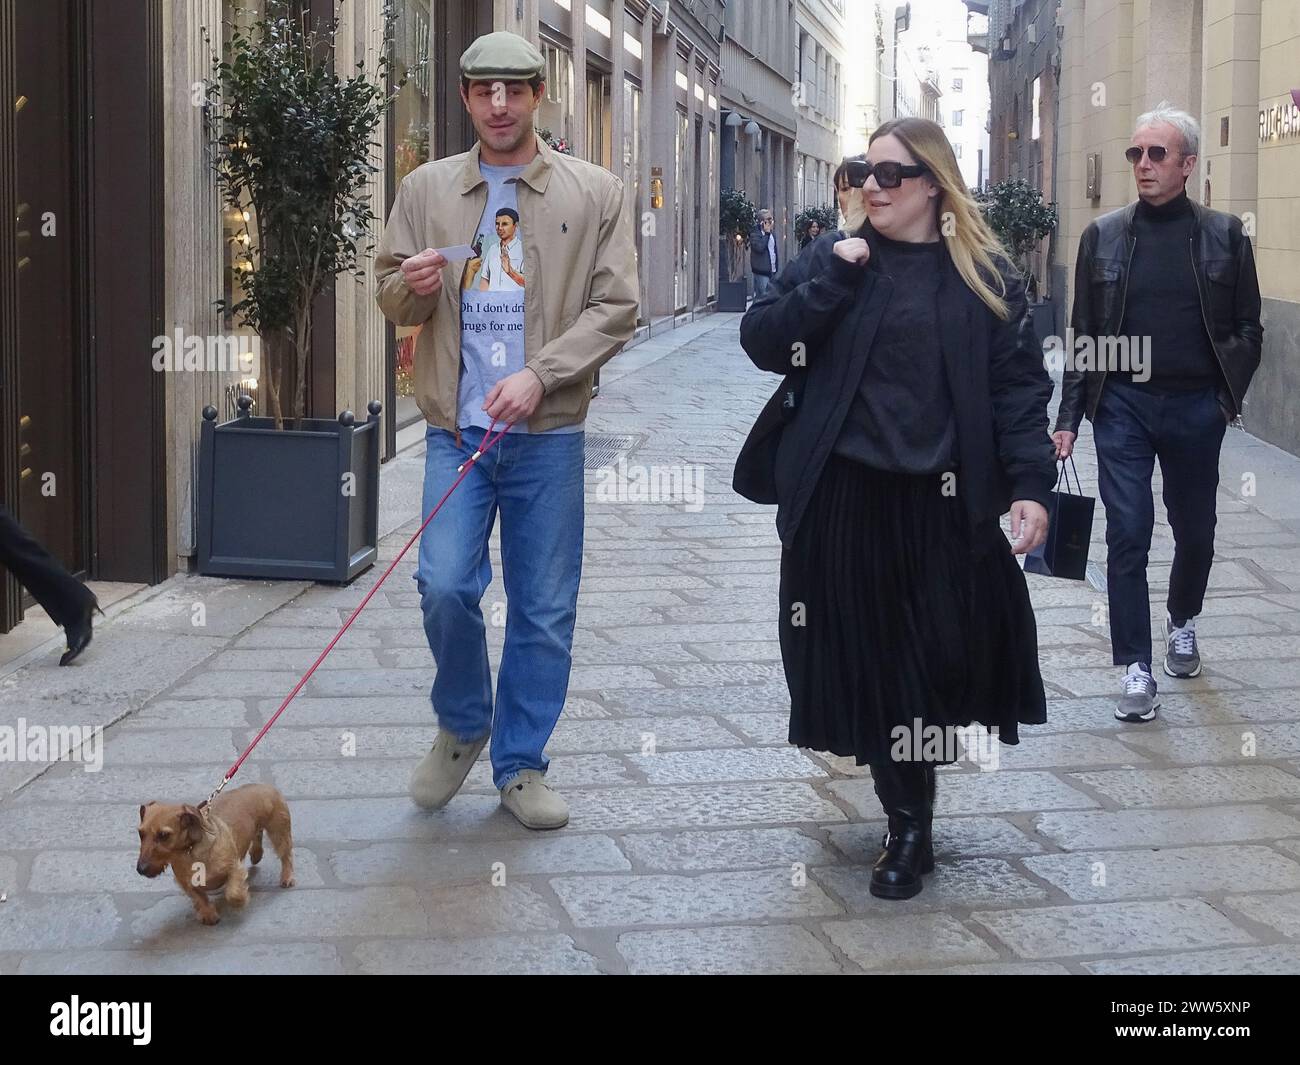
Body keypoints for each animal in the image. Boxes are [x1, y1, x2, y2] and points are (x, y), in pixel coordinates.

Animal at [137, 785, 295, 925]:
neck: (190, 851)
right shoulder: (186, 883)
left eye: (164, 835)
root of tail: (265, 785)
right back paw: (256, 853)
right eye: (140, 833)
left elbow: (233, 893)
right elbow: (198, 897)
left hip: (279, 831)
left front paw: (240, 901)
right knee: (257, 834)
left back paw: (287, 877)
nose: (140, 869)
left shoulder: (234, 868)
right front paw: (208, 914)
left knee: (286, 856)